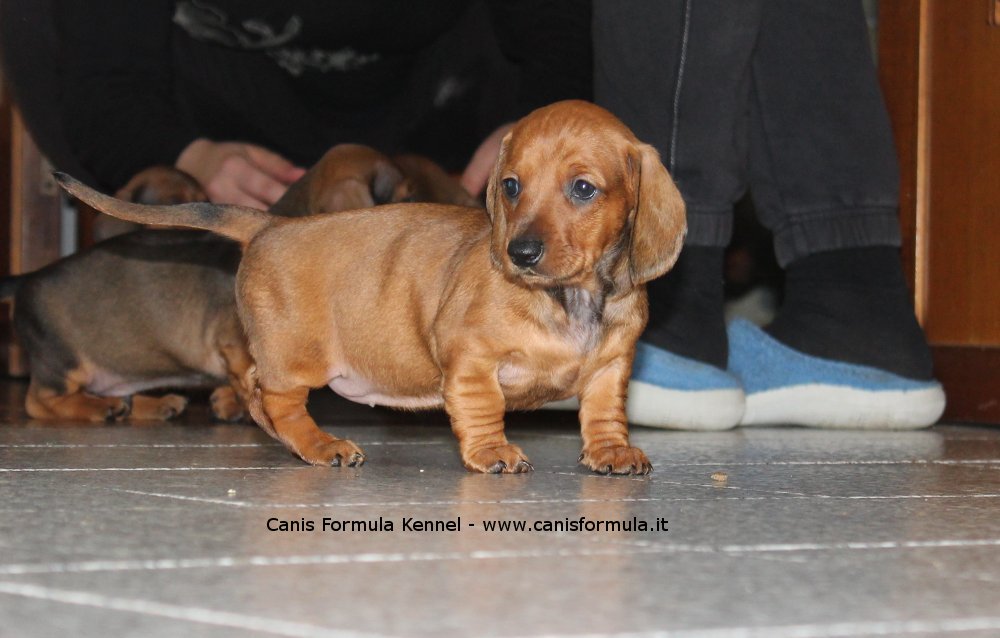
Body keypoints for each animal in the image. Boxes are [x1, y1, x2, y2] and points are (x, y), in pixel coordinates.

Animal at [56, 101, 688, 476]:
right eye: (511, 185)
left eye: (583, 188)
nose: (520, 253)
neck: (566, 299)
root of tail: (269, 225)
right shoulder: (471, 360)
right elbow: (484, 409)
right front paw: (492, 452)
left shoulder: (611, 367)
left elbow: (603, 412)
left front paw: (610, 451)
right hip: (298, 358)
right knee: (269, 395)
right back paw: (318, 444)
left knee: (259, 397)